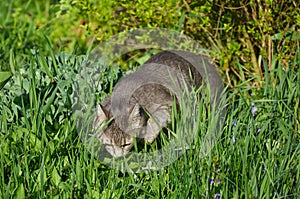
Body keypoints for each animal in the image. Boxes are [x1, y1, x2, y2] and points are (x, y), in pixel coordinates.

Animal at [92, 49, 224, 157]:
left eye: (126, 145)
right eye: (109, 144)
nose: (118, 157)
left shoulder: (167, 105)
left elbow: (153, 122)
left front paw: (147, 137)